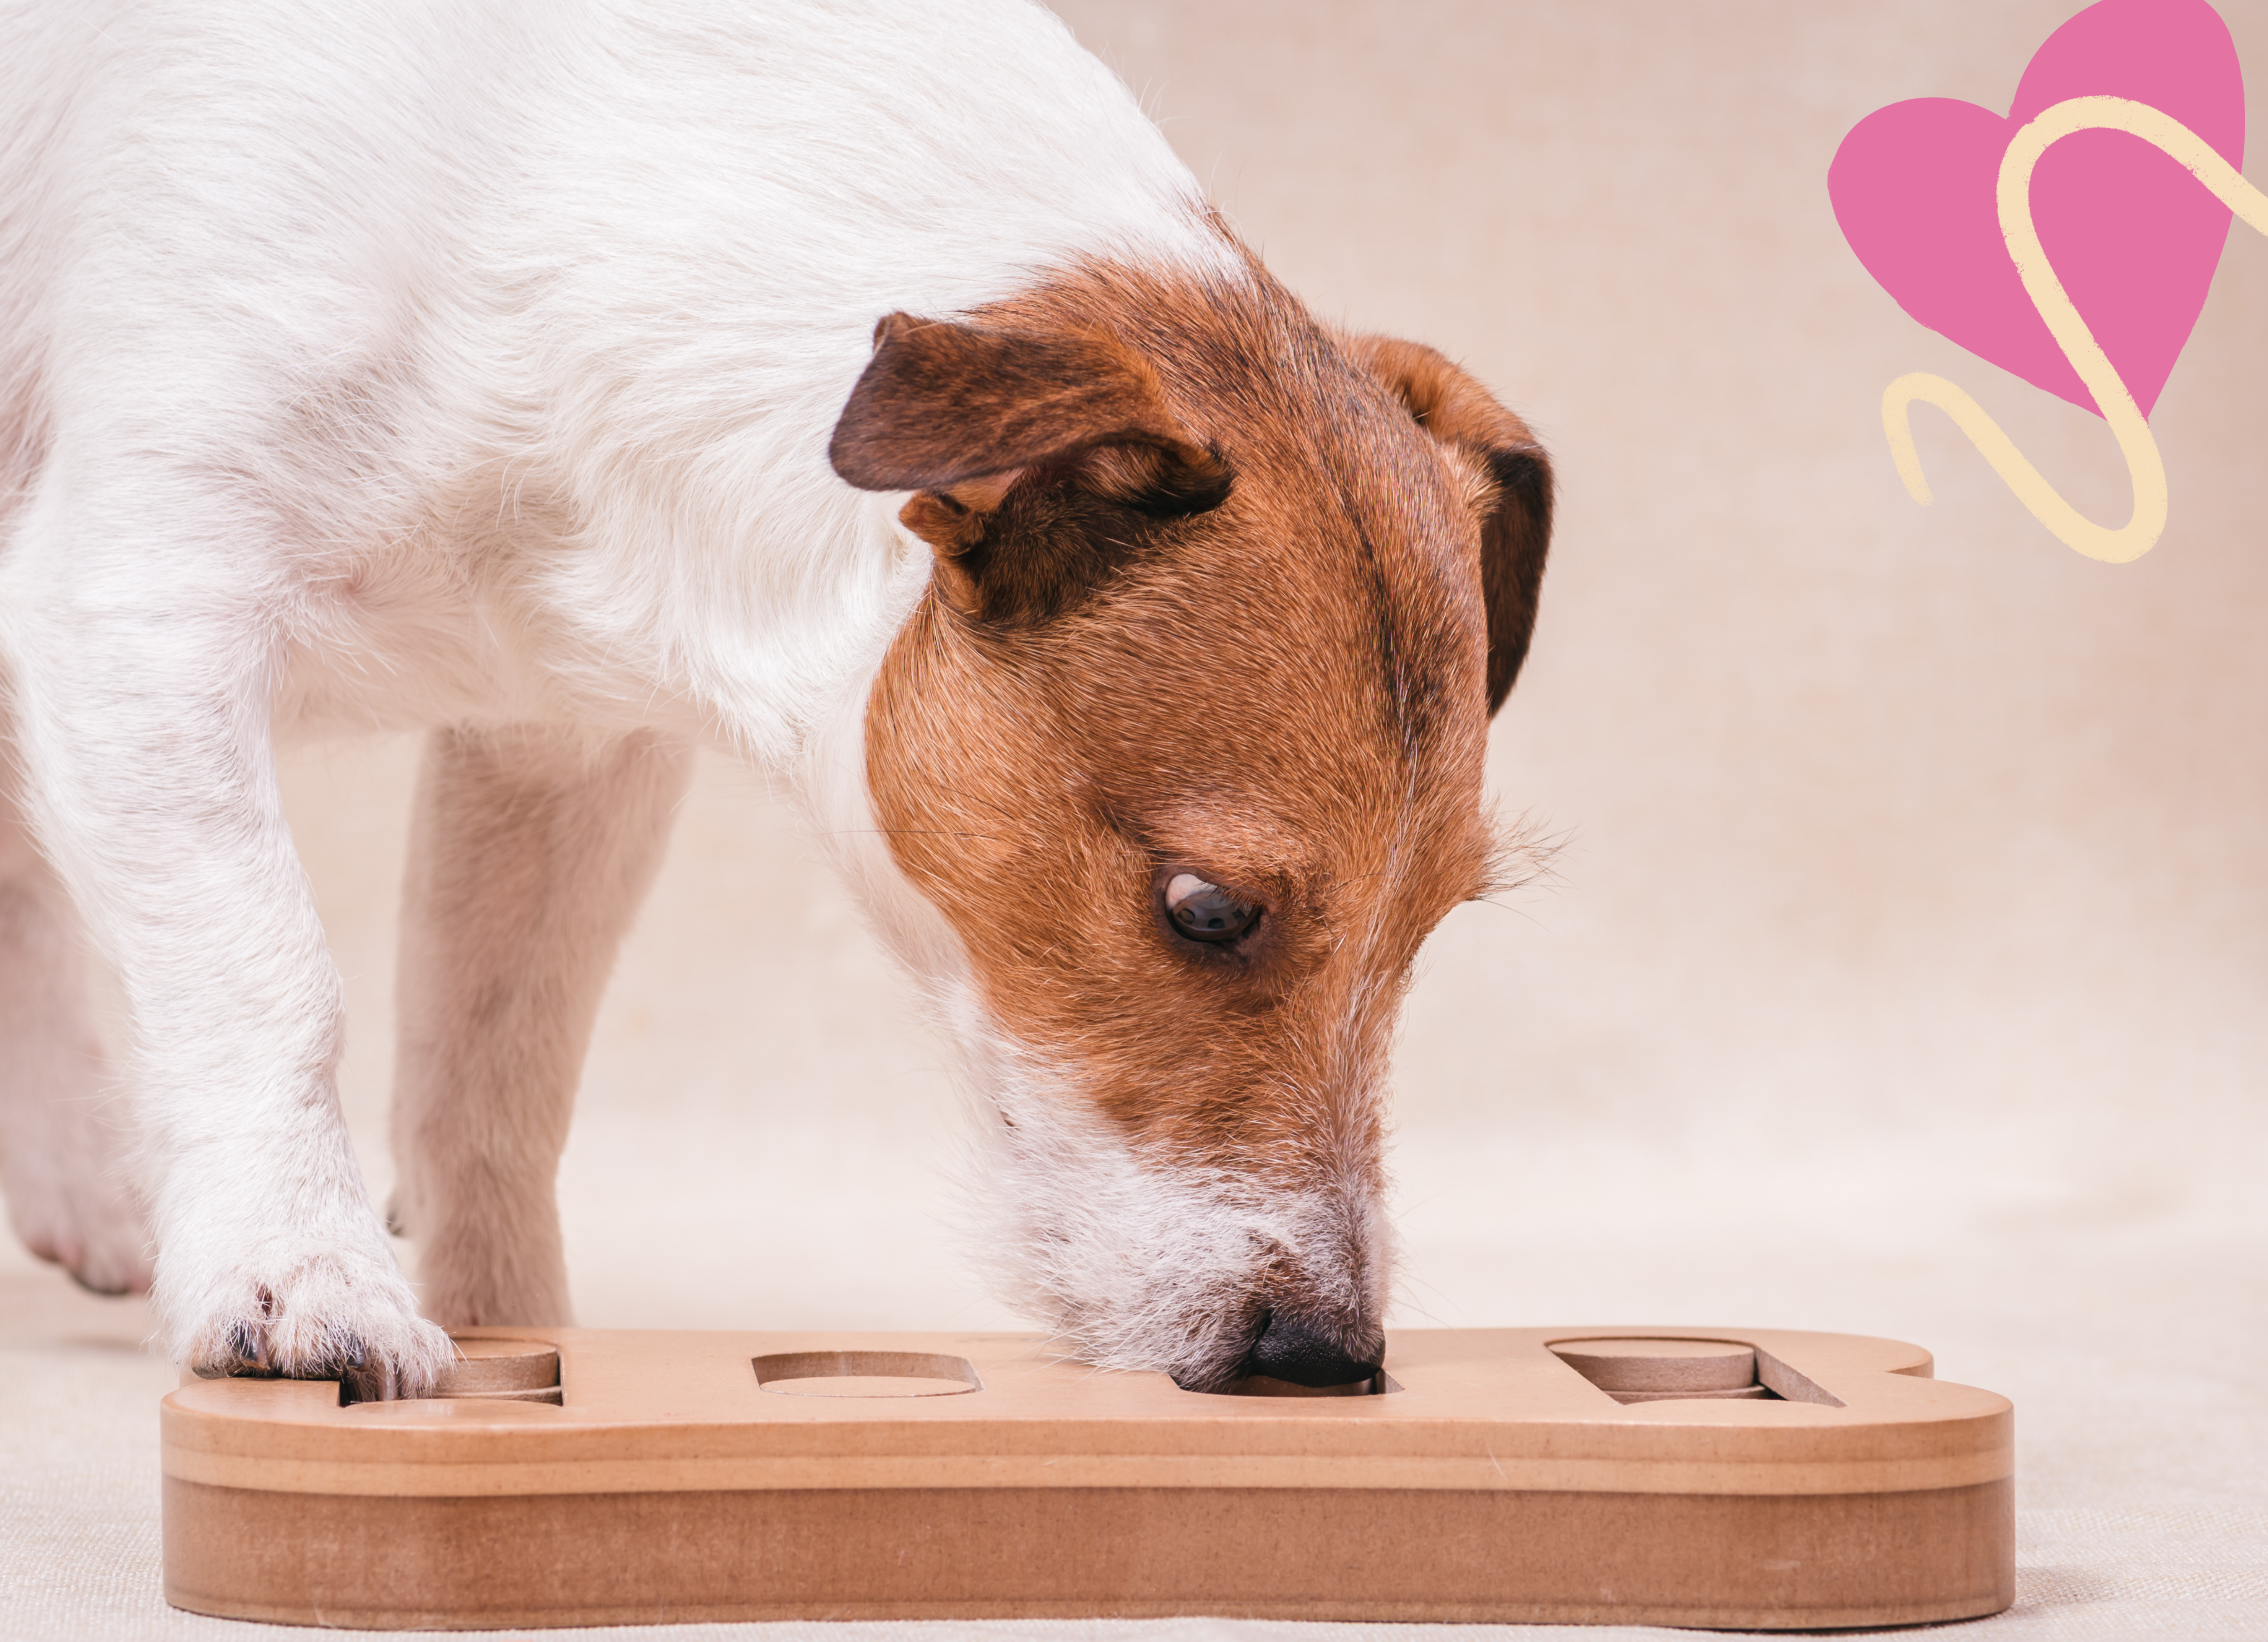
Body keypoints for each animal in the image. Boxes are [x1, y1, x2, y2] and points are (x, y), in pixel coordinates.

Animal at [0, 0, 1542, 1397]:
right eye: (1206, 909)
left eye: (1430, 925)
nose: (1324, 1355)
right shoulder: (138, 611)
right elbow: (270, 968)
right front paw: (300, 1266)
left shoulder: (559, 752)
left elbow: (496, 1064)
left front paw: (518, 1326)